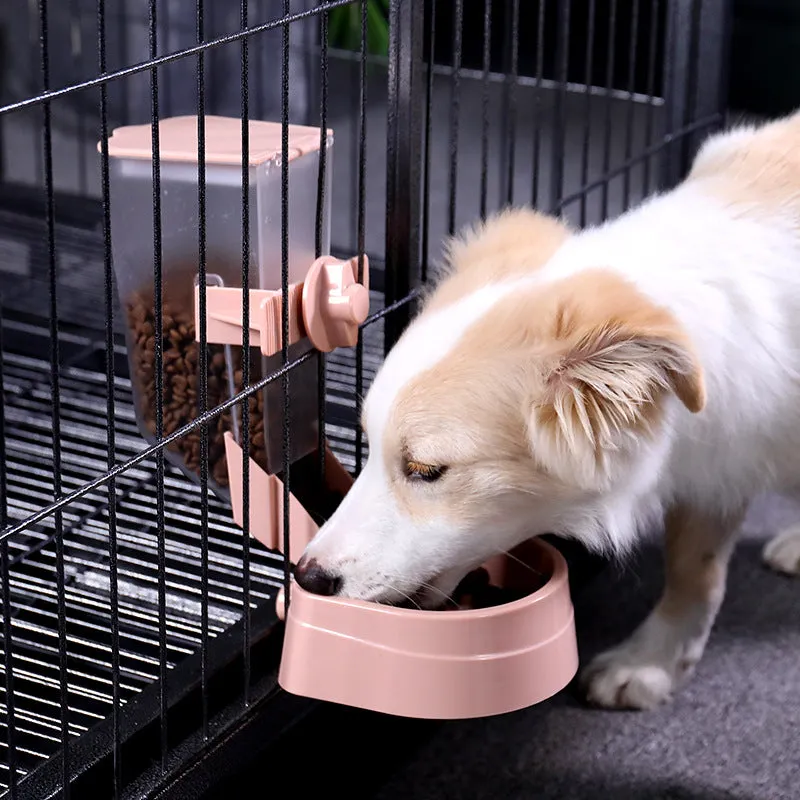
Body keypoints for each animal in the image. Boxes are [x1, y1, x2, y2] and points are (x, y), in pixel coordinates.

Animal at [294, 111, 800, 708]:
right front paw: (652, 662)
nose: (307, 577)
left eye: (426, 470)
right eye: (367, 449)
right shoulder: (719, 463)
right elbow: (693, 571)